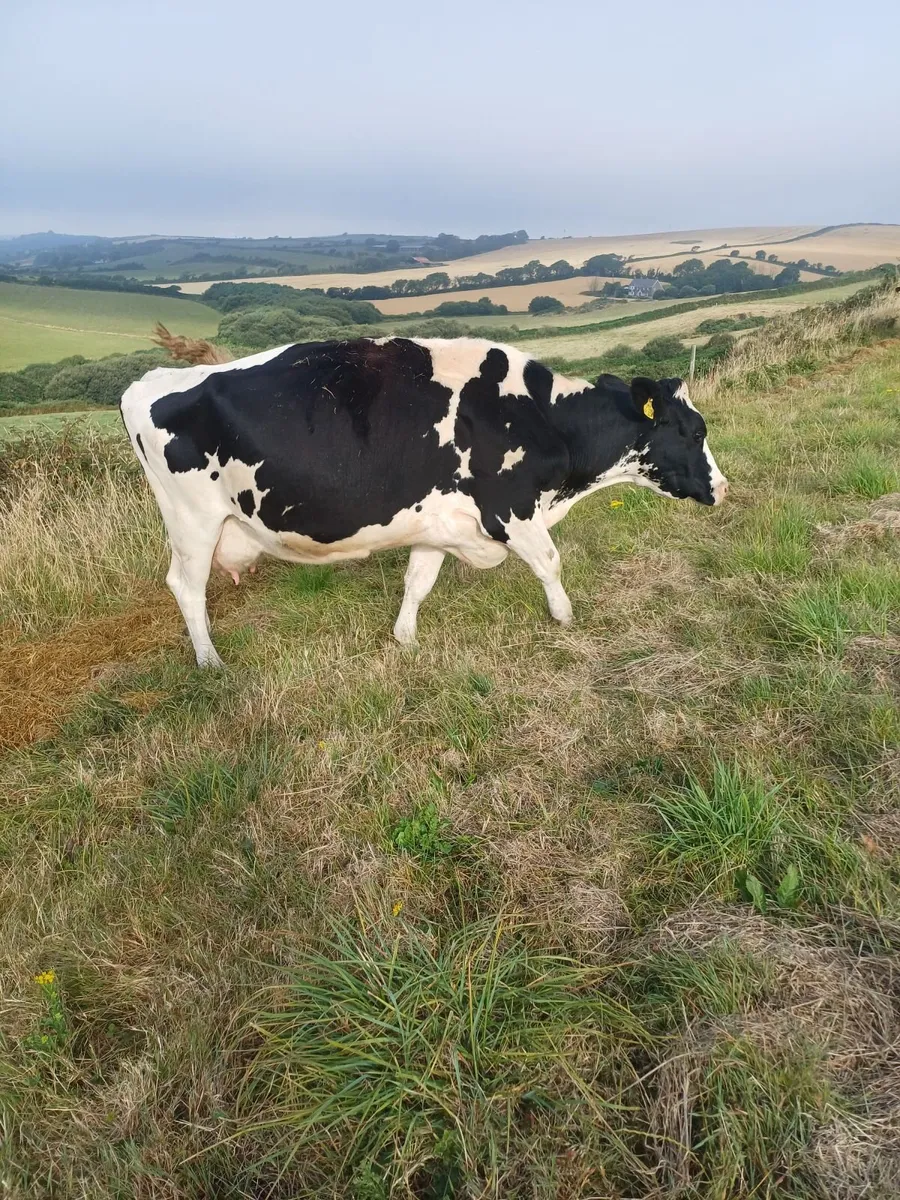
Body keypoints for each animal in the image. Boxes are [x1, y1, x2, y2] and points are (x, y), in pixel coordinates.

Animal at [121, 330, 727, 666]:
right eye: (693, 431)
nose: (723, 488)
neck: (542, 418)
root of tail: (148, 381)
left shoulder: (440, 522)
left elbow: (418, 581)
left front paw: (406, 640)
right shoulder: (509, 510)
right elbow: (551, 560)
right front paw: (564, 618)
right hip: (193, 521)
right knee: (186, 587)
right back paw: (210, 662)